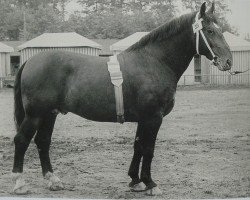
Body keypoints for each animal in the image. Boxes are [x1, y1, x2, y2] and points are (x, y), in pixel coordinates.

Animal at [10, 2, 231, 196]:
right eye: (209, 31)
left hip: (50, 114)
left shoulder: (143, 119)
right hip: (36, 114)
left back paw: (53, 180)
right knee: (21, 140)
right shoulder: (154, 117)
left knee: (42, 141)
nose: (228, 61)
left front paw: (135, 181)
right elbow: (148, 149)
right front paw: (151, 184)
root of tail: (30, 61)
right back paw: (19, 183)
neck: (153, 61)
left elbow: (138, 146)